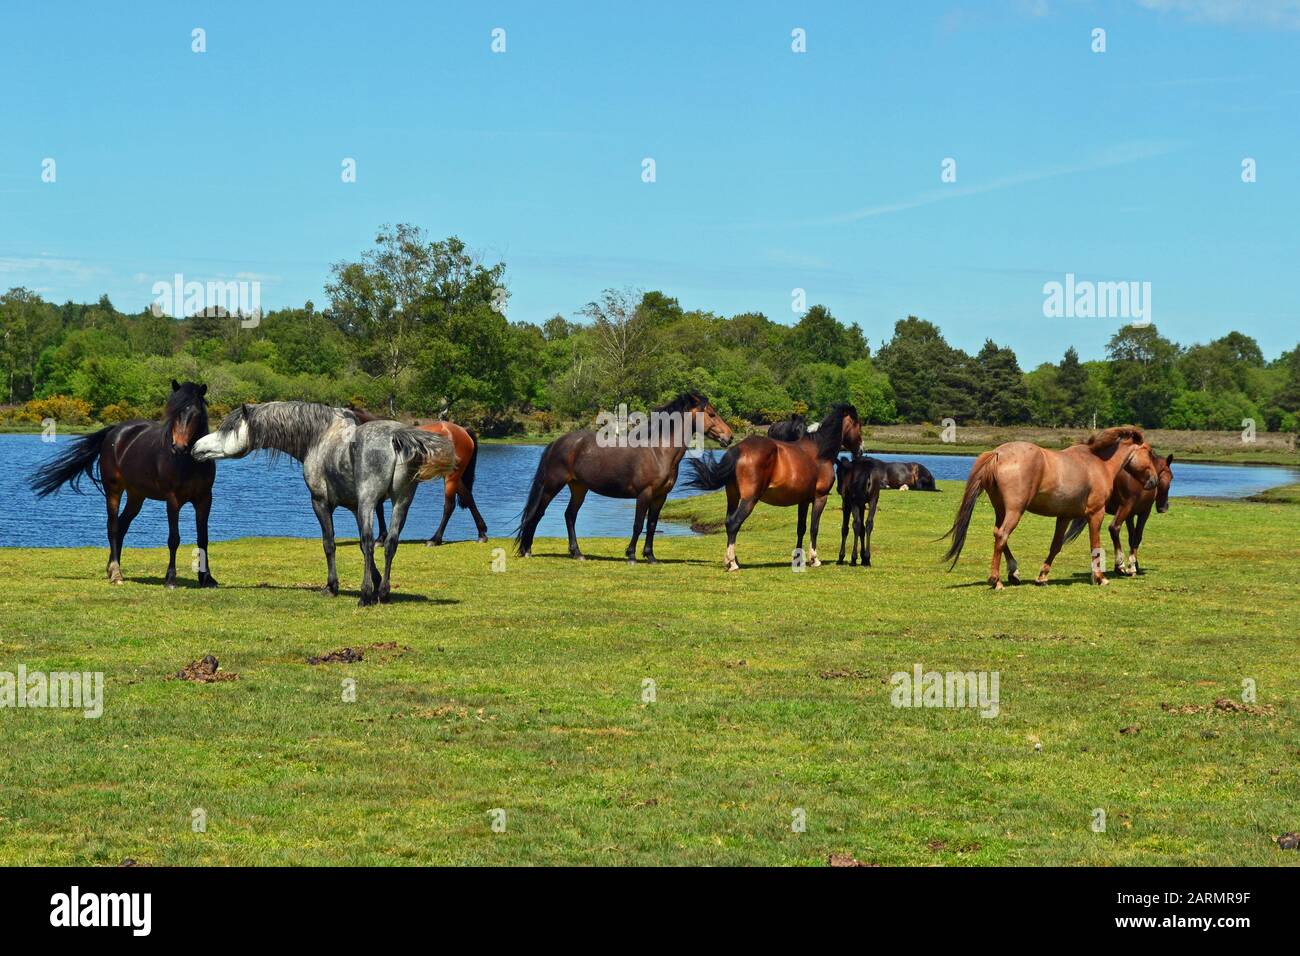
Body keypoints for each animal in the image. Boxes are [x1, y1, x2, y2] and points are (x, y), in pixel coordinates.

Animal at [29, 377, 218, 587]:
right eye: (173, 412)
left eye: (195, 414)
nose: (178, 447)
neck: (188, 463)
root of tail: (115, 431)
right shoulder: (172, 500)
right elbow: (173, 539)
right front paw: (170, 579)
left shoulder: (204, 499)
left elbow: (203, 538)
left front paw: (207, 578)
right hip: (114, 491)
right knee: (112, 526)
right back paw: (116, 573)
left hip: (136, 496)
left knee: (122, 526)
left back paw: (112, 568)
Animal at [189, 403, 457, 606]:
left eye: (228, 428)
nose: (196, 447)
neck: (319, 437)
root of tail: (395, 437)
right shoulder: (354, 507)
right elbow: (363, 548)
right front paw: (377, 580)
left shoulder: (321, 503)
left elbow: (331, 544)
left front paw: (332, 586)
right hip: (401, 501)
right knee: (390, 543)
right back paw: (383, 593)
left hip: (370, 501)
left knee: (371, 541)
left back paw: (365, 595)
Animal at [681, 403, 863, 572]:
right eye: (857, 424)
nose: (861, 450)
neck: (819, 452)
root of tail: (739, 449)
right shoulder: (820, 498)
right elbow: (814, 528)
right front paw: (814, 559)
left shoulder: (803, 501)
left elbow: (801, 528)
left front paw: (798, 559)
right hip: (749, 500)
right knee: (734, 523)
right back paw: (732, 563)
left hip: (732, 497)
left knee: (727, 522)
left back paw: (732, 560)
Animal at [941, 429, 1164, 590]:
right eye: (1149, 452)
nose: (1153, 481)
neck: (1098, 463)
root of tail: (998, 453)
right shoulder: (1096, 514)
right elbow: (1095, 545)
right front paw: (1100, 577)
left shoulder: (1064, 516)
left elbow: (1056, 546)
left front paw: (1042, 576)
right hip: (1015, 510)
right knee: (1002, 535)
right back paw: (996, 580)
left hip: (1001, 510)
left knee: (998, 535)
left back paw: (1014, 573)